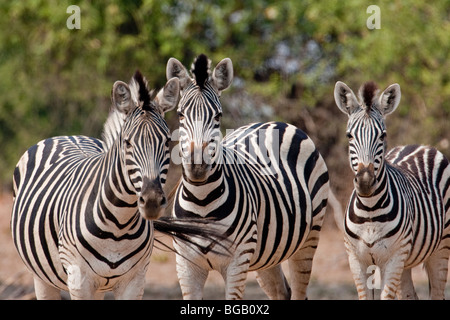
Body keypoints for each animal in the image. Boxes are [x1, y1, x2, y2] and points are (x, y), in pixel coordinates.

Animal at [11, 70, 220, 300]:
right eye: (127, 142)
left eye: (167, 142)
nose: (152, 201)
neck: (118, 226)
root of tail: (67, 135)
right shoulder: (79, 281)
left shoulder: (135, 280)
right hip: (41, 277)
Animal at [167, 53, 328, 298]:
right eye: (180, 114)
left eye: (218, 116)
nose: (198, 166)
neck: (201, 200)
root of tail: (274, 122)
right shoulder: (186, 265)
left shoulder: (237, 262)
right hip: (267, 254)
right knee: (281, 292)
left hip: (309, 238)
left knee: (299, 291)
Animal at [332, 80, 450, 300]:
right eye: (349, 136)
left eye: (383, 135)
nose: (366, 182)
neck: (369, 210)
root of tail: (421, 145)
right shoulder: (356, 261)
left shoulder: (394, 258)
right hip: (406, 261)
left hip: (441, 248)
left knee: (437, 292)